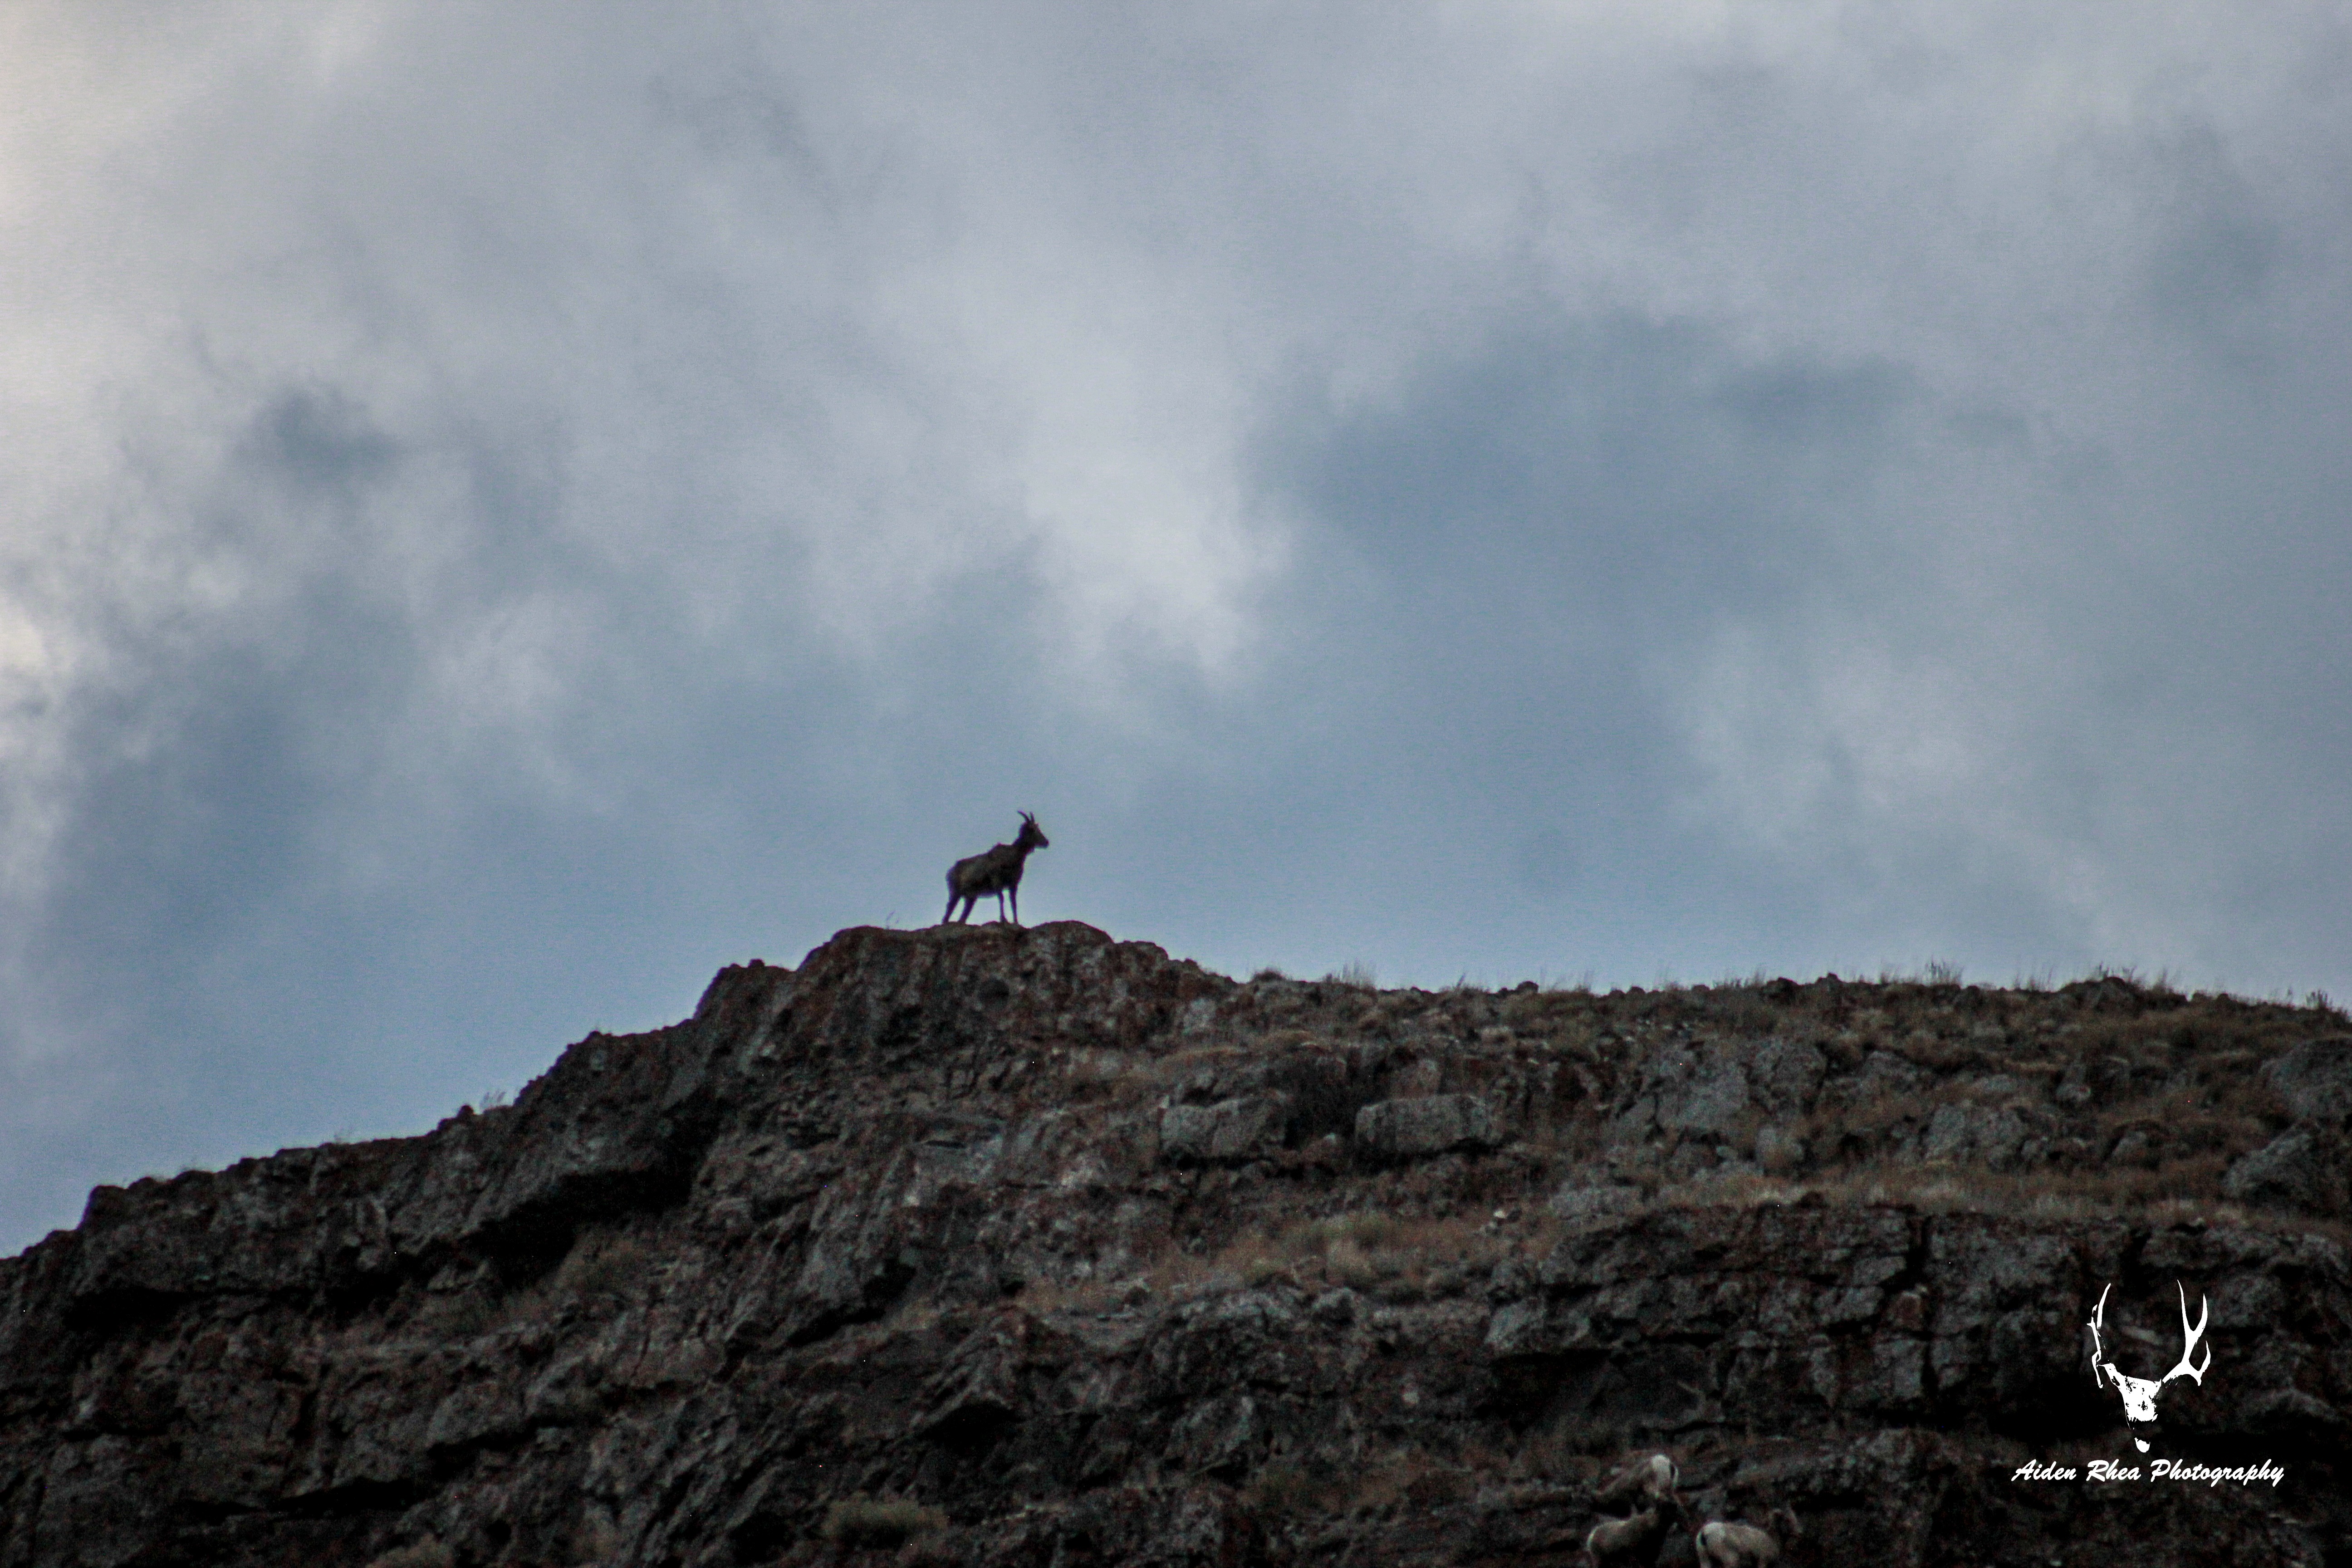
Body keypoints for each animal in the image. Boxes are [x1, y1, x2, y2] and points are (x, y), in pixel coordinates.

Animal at [943, 812, 1049, 926]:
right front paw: (1003, 920)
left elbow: (1014, 903)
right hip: (955, 893)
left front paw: (1016, 922)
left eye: (1038, 829)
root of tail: (950, 872)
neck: (1011, 858)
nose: (1046, 842)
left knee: (962, 918)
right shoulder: (997, 880)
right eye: (1032, 829)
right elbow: (1002, 898)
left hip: (971, 898)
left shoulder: (1013, 884)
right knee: (948, 912)